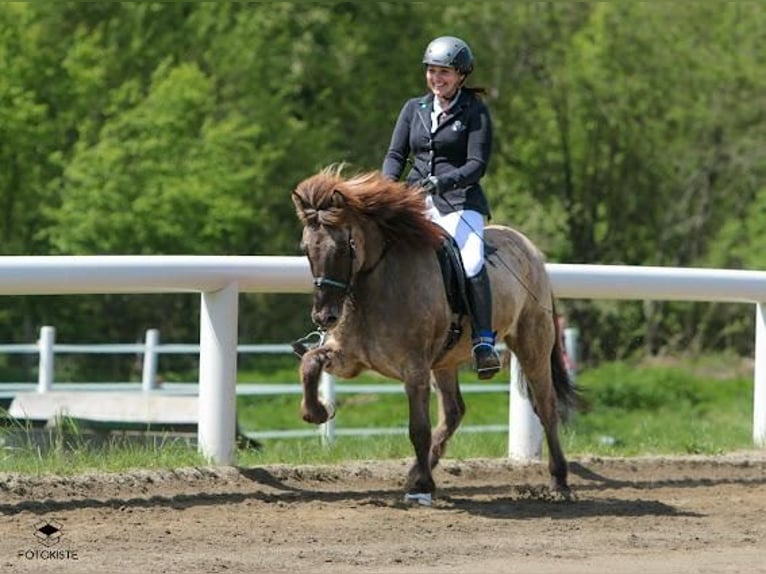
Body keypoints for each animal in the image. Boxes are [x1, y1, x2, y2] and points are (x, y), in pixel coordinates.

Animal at [291, 166, 579, 505]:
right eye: (306, 249)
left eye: (342, 247)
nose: (324, 317)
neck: (376, 283)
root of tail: (530, 249)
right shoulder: (348, 358)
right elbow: (310, 363)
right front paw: (317, 411)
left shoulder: (414, 367)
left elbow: (418, 428)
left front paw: (423, 486)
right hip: (445, 360)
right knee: (454, 411)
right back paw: (416, 471)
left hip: (532, 343)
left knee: (546, 405)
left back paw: (559, 481)